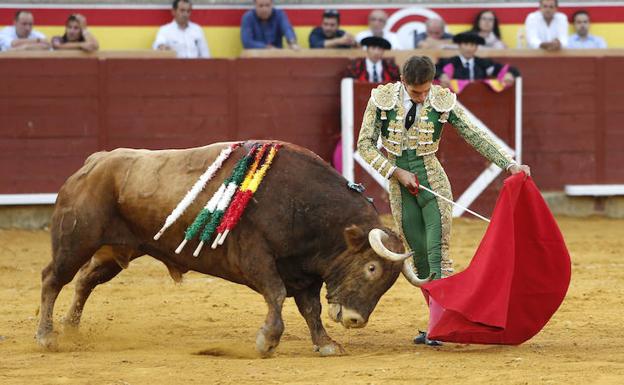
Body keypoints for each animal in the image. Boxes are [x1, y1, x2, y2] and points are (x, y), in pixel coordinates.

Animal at [36, 142, 428, 356]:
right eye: (371, 268)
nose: (355, 320)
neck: (304, 205)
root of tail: (95, 162)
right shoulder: (255, 258)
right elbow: (275, 293)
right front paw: (267, 341)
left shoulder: (303, 273)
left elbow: (311, 309)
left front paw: (327, 343)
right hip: (76, 241)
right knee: (53, 279)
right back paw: (47, 336)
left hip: (116, 250)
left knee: (85, 280)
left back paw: (71, 328)